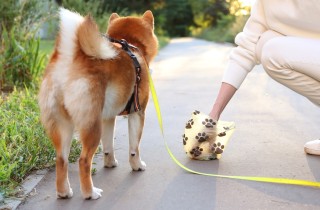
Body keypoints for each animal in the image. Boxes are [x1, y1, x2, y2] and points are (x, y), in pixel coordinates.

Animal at [38, 7, 158, 199]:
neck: (131, 45)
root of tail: (70, 59)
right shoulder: (137, 113)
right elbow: (134, 147)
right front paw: (137, 165)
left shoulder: (108, 117)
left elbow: (108, 146)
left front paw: (110, 163)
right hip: (91, 126)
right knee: (83, 161)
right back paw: (90, 193)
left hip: (63, 126)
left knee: (61, 160)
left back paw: (64, 192)